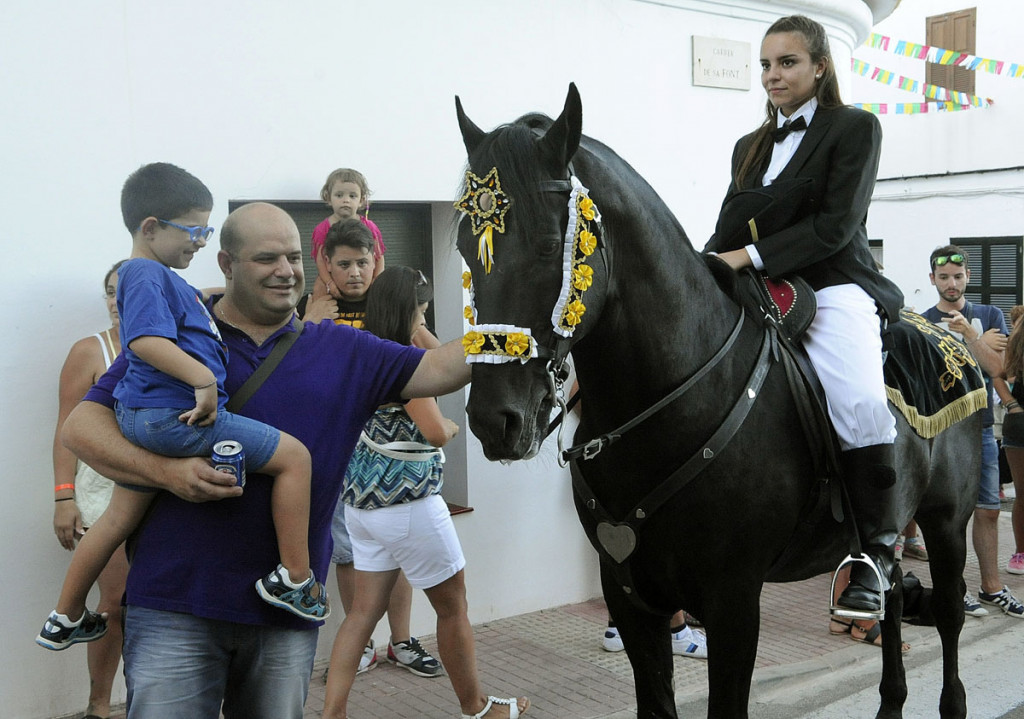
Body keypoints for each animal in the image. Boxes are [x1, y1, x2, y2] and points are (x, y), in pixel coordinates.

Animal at [452, 86, 978, 719]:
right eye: (464, 247)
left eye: (551, 246)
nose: (495, 421)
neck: (673, 397)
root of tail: (948, 335)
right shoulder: (630, 593)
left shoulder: (732, 599)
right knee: (895, 594)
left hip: (947, 521)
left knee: (947, 611)